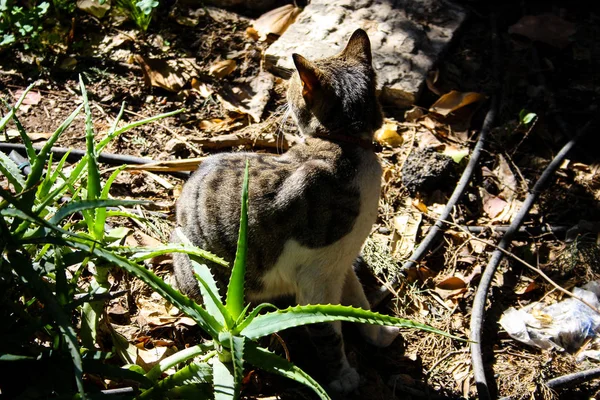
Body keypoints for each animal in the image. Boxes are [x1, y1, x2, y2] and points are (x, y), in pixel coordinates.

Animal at [172, 29, 398, 396]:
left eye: (292, 84)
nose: (282, 95)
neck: (346, 146)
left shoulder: (339, 264)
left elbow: (357, 303)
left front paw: (377, 333)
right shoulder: (315, 280)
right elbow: (329, 332)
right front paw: (342, 377)